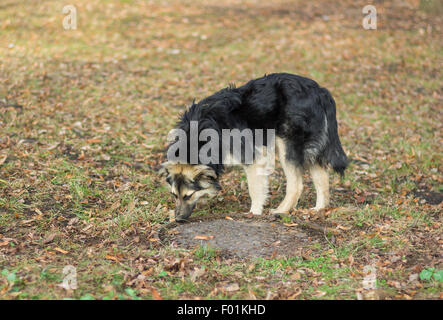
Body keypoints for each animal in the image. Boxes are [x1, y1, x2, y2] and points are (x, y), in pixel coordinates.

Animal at [161, 73, 348, 222]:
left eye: (188, 195)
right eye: (174, 195)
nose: (178, 220)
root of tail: (320, 91)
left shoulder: (252, 157)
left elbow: (255, 188)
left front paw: (254, 213)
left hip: (287, 146)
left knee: (297, 185)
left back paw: (281, 210)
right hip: (309, 148)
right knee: (322, 178)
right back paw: (318, 209)